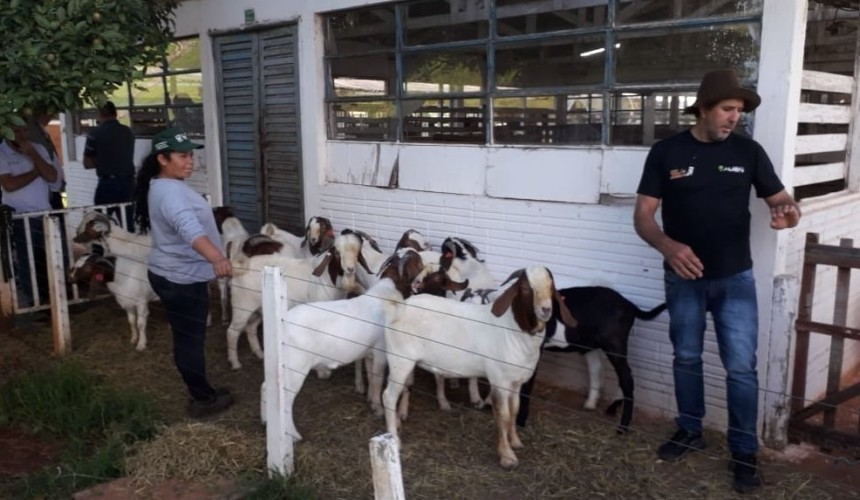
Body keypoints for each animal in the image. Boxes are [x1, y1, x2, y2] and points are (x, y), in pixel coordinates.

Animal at [225, 229, 370, 368]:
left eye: (358, 253)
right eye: (337, 253)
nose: (350, 269)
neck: (325, 279)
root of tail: (240, 267)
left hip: (259, 307)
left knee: (251, 327)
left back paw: (260, 354)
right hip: (241, 306)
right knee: (232, 332)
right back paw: (235, 363)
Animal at [384, 268, 576, 466]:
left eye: (551, 287)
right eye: (524, 287)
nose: (546, 310)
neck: (511, 329)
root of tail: (400, 307)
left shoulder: (516, 382)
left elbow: (514, 410)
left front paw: (515, 441)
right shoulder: (500, 381)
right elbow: (503, 415)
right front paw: (506, 455)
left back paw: (398, 421)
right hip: (399, 360)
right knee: (388, 396)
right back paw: (395, 439)